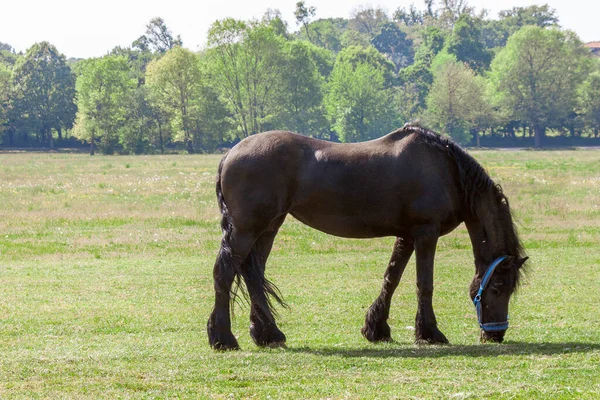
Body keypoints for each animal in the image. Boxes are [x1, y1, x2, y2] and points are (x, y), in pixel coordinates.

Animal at [209, 125, 528, 350]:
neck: (446, 172)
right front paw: (430, 333)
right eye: (497, 288)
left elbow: (391, 279)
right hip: (247, 229)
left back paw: (267, 333)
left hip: (269, 227)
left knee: (253, 274)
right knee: (225, 272)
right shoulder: (426, 233)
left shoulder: (407, 236)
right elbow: (424, 284)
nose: (496, 334)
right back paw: (223, 338)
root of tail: (229, 154)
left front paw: (376, 328)